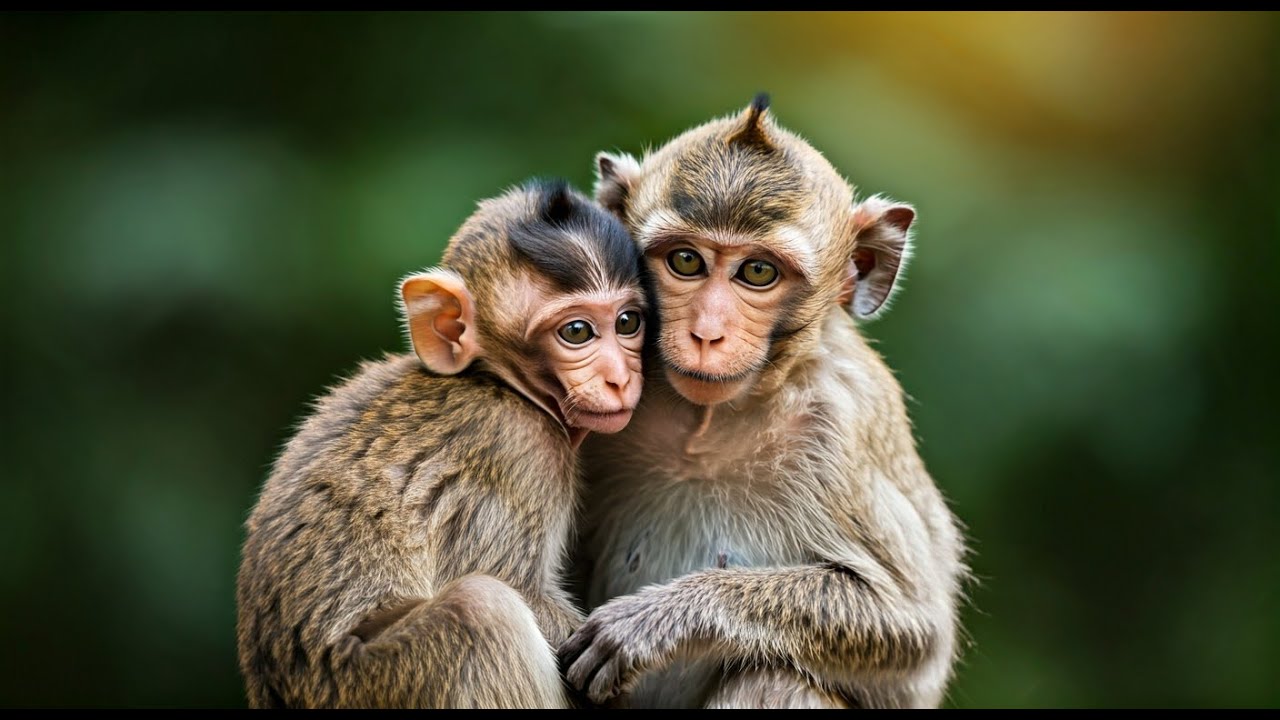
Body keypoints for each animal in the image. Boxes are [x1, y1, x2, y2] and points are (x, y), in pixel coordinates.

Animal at [235, 180, 647, 708]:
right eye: (577, 332)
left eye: (628, 322)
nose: (620, 379)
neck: (495, 382)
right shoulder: (518, 448)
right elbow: (522, 590)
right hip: (373, 681)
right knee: (480, 608)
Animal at [560, 95, 967, 709]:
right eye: (686, 261)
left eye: (757, 271)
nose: (707, 333)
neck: (705, 426)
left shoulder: (842, 427)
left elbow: (914, 631)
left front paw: (656, 620)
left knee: (776, 675)